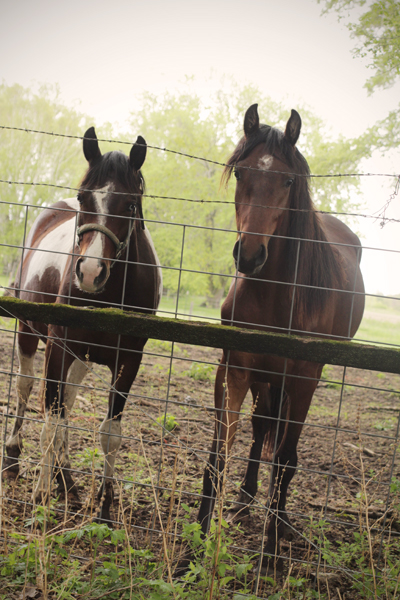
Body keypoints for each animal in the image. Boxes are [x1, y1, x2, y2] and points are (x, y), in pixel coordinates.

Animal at [1, 129, 161, 524]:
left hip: (82, 358)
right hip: (29, 333)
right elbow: (51, 420)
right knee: (27, 388)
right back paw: (14, 456)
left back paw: (67, 479)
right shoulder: (59, 347)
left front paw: (104, 504)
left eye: (130, 204)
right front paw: (41, 495)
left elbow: (109, 433)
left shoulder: (128, 360)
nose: (89, 272)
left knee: (68, 403)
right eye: (82, 197)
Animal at [195, 106, 366, 572]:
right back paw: (245, 499)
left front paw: (271, 549)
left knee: (283, 447)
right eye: (241, 172)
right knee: (261, 429)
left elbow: (287, 459)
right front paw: (195, 544)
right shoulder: (234, 367)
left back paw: (281, 517)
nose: (250, 255)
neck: (275, 296)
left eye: (288, 181)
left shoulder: (305, 378)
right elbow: (220, 452)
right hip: (265, 377)